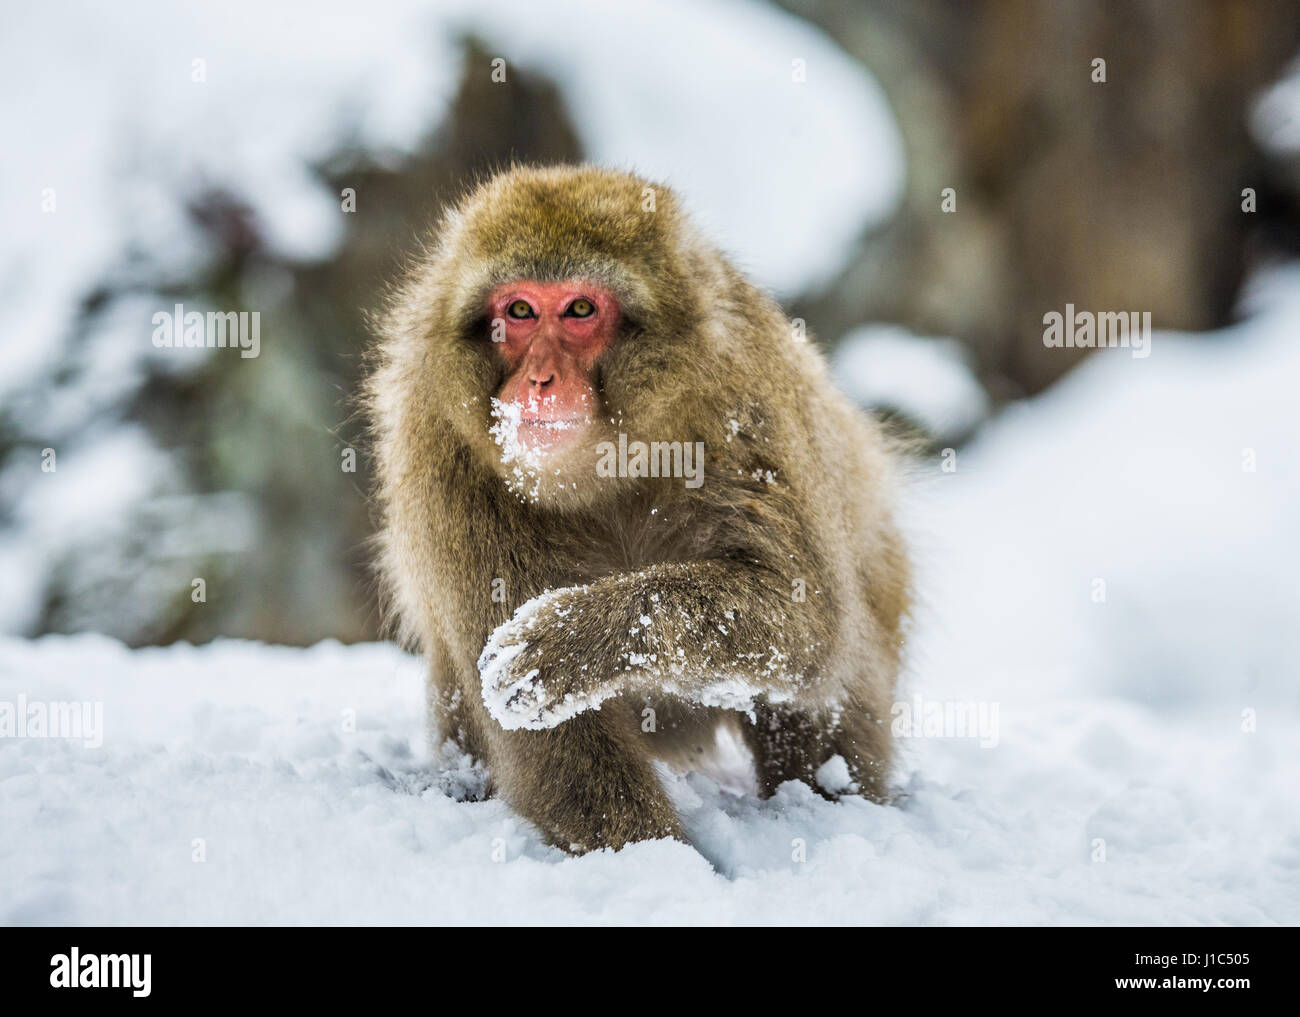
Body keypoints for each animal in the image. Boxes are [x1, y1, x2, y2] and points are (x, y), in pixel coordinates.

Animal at [371, 167, 909, 853]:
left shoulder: (744, 399)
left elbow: (804, 614)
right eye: (519, 311)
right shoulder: (443, 451)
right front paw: (652, 855)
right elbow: (561, 742)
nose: (539, 380)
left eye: (580, 309)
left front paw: (573, 638)